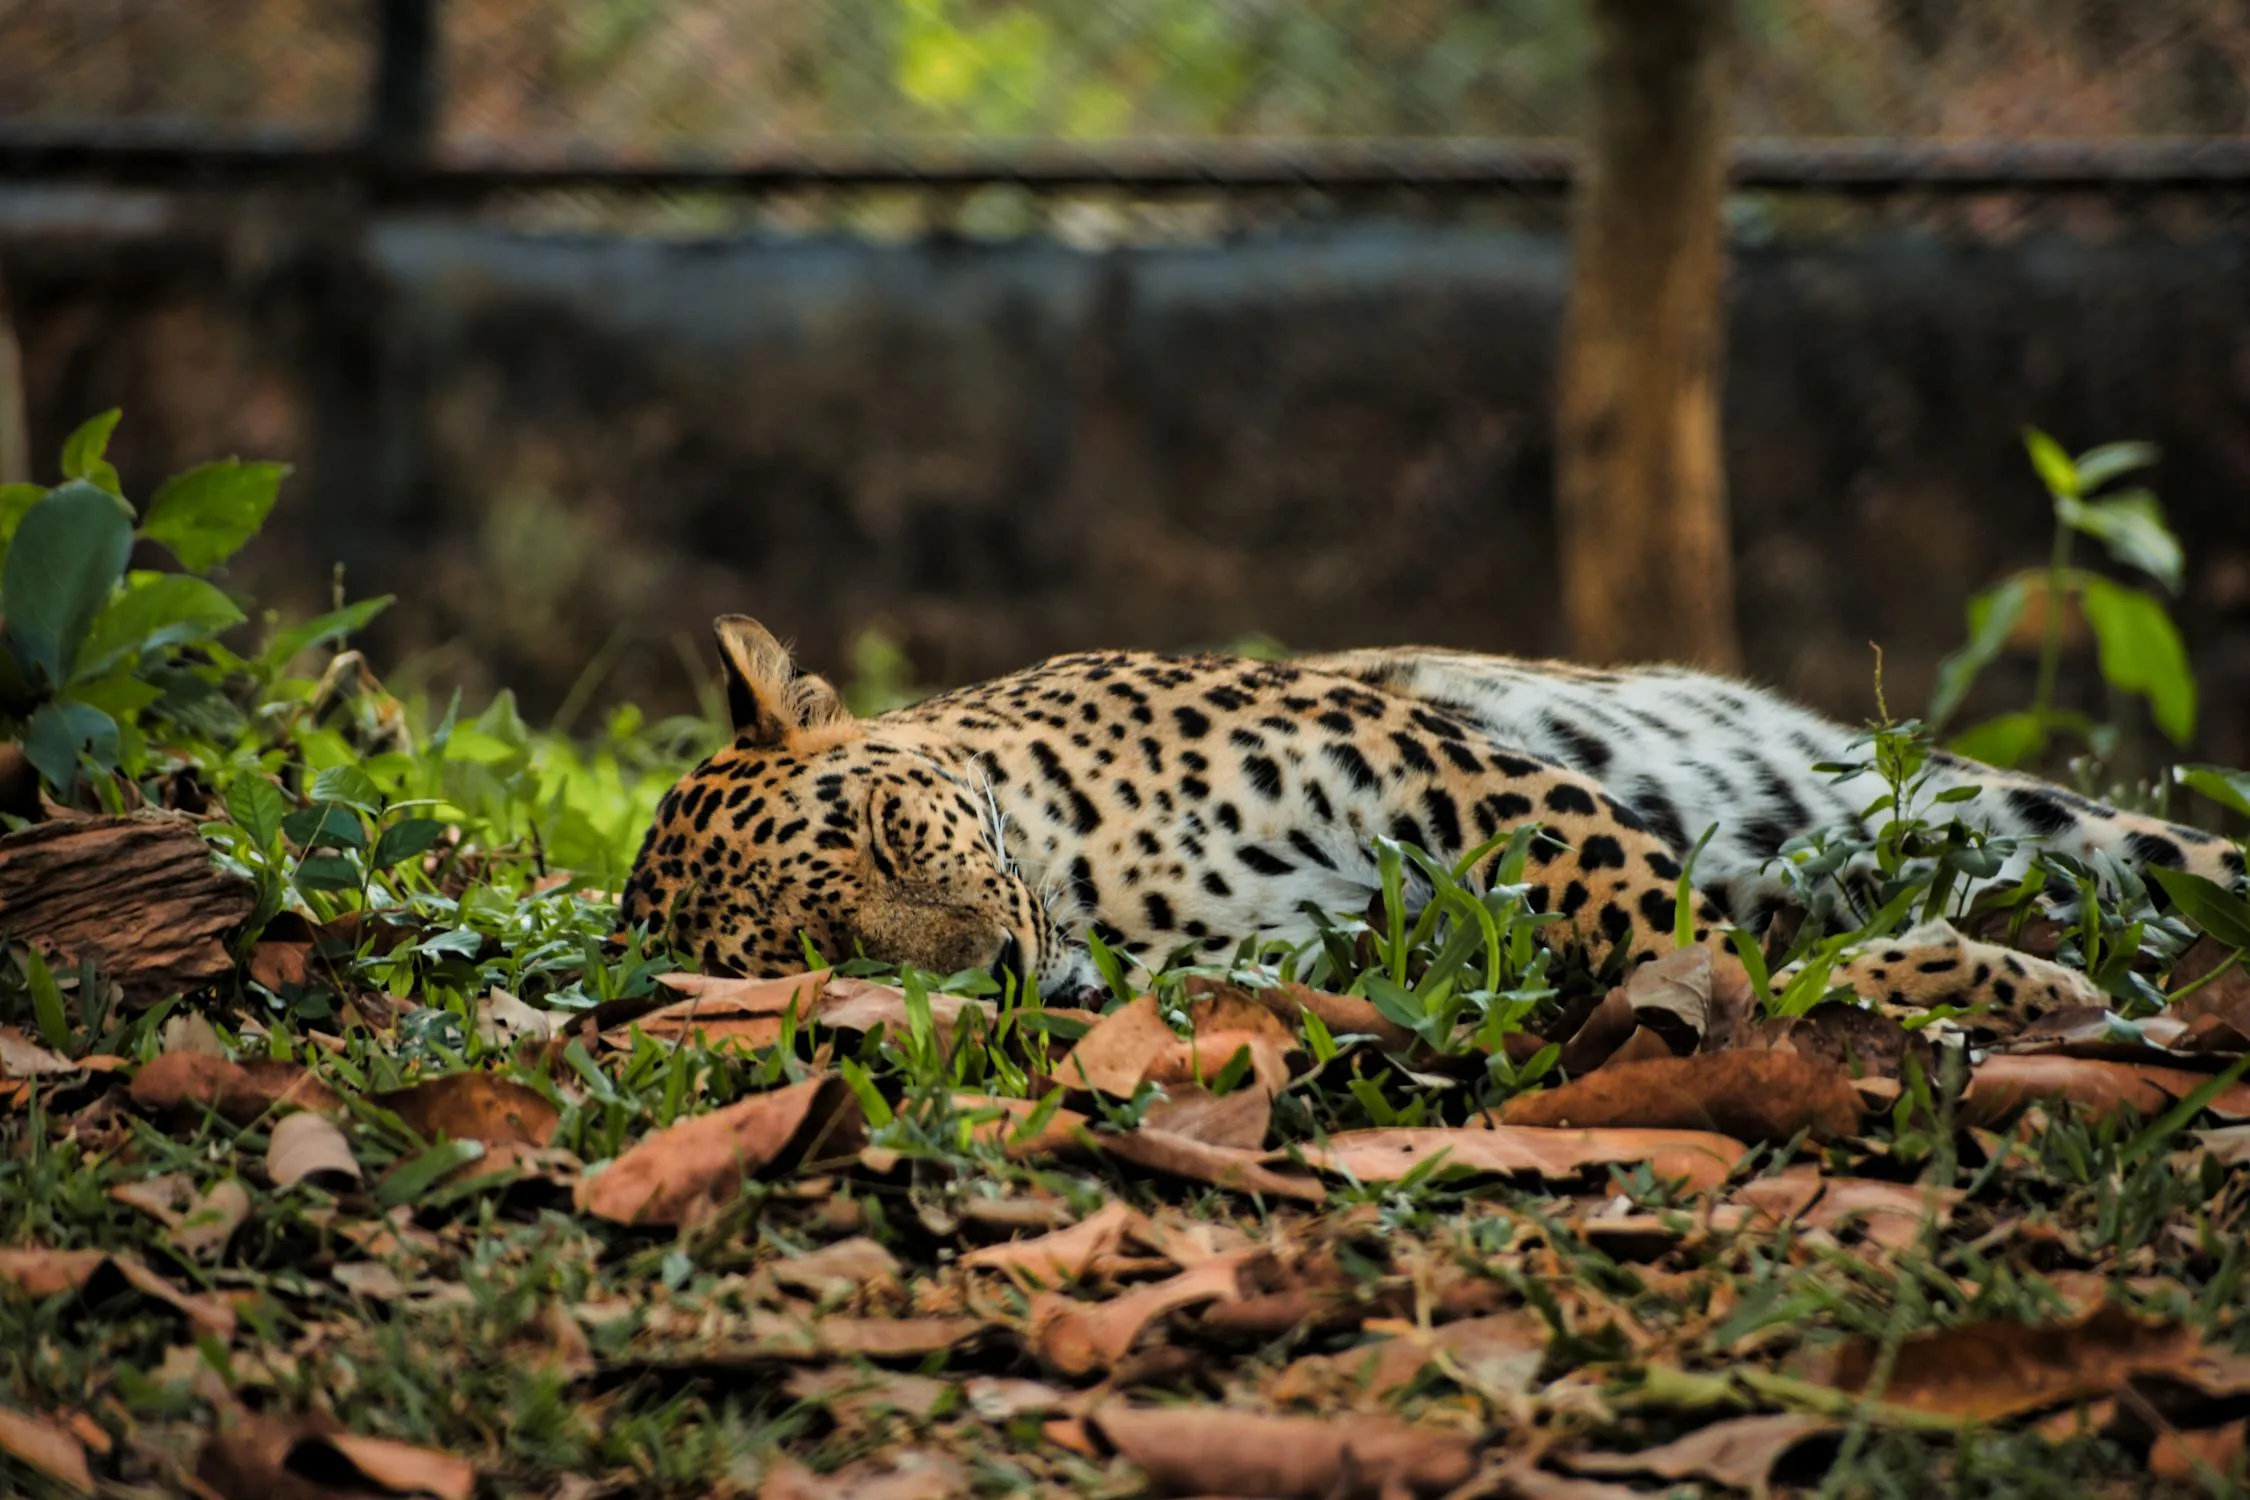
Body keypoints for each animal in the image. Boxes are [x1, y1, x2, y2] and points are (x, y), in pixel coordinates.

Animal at [621, 617, 2245, 1025]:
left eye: (892, 834)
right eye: (829, 961)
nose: (1002, 973)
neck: (1097, 884)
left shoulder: (1445, 774)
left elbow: (1660, 909)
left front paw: (1988, 978)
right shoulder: (1368, 957)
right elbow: (1702, 957)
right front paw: (1984, 977)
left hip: (2076, 821)